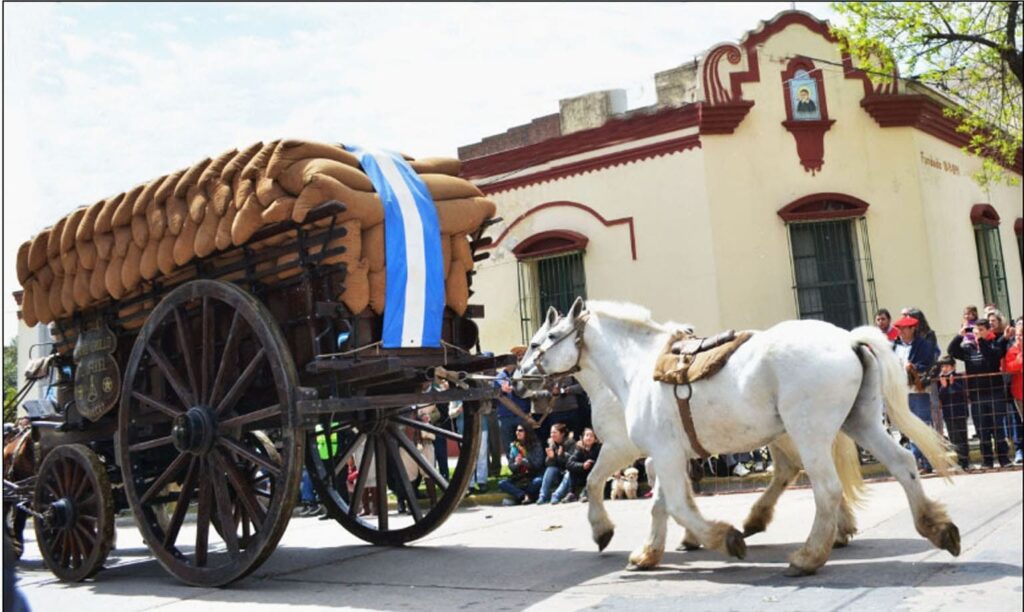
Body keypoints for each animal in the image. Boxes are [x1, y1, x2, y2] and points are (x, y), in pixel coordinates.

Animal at [516, 298, 962, 577]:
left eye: (540, 342)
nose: (519, 379)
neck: (637, 368)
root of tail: (848, 338)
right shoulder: (665, 455)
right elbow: (662, 504)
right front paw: (648, 553)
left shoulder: (652, 452)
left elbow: (661, 500)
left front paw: (720, 537)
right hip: (861, 423)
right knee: (902, 463)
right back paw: (936, 528)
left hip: (808, 432)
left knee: (826, 487)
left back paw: (808, 554)